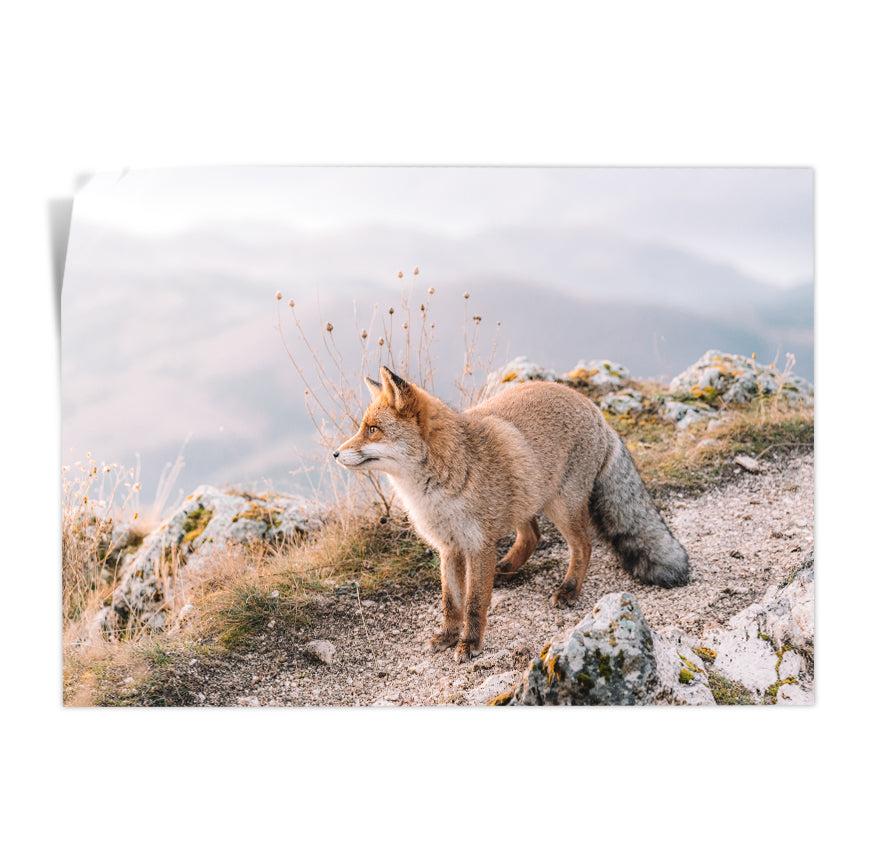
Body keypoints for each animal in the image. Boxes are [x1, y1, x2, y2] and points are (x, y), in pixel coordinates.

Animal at [334, 366, 690, 663]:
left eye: (373, 429)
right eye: (363, 428)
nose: (334, 454)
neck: (437, 489)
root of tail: (593, 408)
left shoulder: (478, 545)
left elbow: (475, 603)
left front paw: (470, 644)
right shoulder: (450, 548)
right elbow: (452, 602)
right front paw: (448, 636)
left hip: (561, 507)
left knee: (583, 546)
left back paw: (569, 589)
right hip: (526, 497)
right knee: (533, 535)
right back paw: (506, 569)